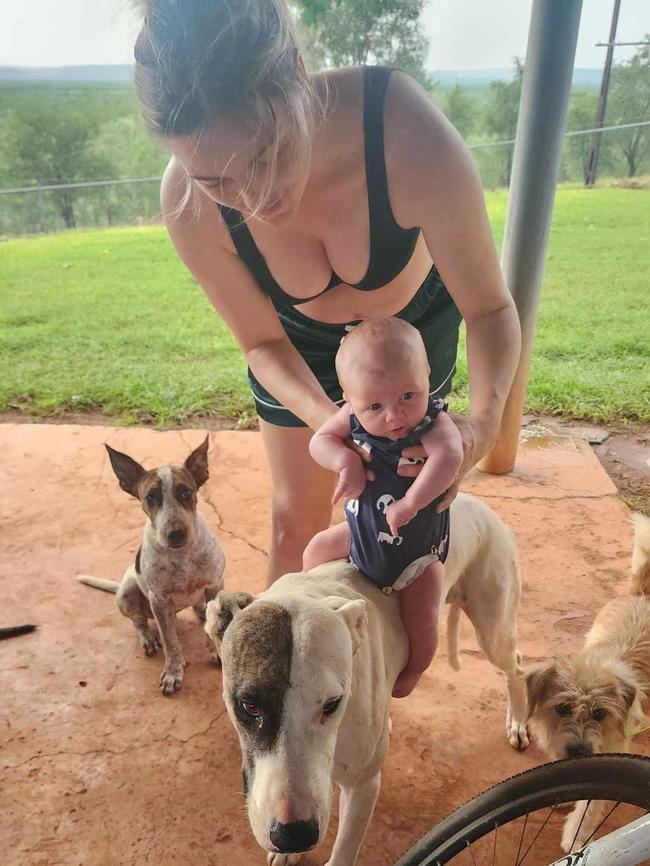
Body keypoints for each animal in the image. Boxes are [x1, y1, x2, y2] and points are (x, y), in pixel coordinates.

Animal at [78, 436, 224, 692]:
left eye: (186, 492)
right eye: (150, 497)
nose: (175, 534)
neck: (182, 556)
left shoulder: (214, 585)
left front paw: (215, 652)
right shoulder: (159, 600)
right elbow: (171, 642)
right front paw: (173, 672)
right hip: (127, 592)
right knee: (139, 622)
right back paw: (148, 638)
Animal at [206, 492, 528, 864]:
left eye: (332, 704)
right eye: (249, 706)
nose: (294, 835)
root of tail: (475, 501)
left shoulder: (362, 786)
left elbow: (344, 850)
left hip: (492, 629)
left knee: (517, 666)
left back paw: (518, 721)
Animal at [524, 512, 644, 852]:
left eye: (600, 714)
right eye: (563, 708)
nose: (577, 751)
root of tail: (641, 595)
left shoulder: (609, 756)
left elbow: (590, 806)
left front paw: (575, 834)